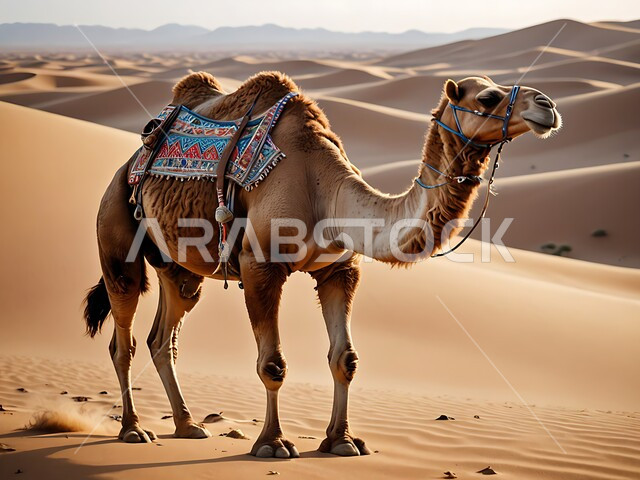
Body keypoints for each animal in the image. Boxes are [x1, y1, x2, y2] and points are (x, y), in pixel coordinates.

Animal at [83, 71, 561, 458]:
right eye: (488, 97)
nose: (548, 106)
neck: (324, 188)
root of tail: (128, 164)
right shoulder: (260, 266)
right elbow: (272, 363)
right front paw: (273, 443)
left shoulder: (339, 271)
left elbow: (344, 359)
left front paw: (342, 441)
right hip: (115, 234)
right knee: (123, 339)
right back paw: (133, 430)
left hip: (179, 269)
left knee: (162, 337)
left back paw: (187, 425)